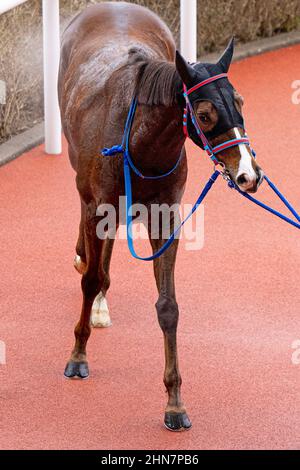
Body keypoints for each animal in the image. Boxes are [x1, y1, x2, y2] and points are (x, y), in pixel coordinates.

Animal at [57, 1, 262, 432]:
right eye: (204, 114)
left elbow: (168, 306)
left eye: (240, 100)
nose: (249, 174)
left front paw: (174, 402)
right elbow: (89, 278)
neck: (139, 140)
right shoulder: (97, 203)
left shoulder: (165, 217)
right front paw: (78, 354)